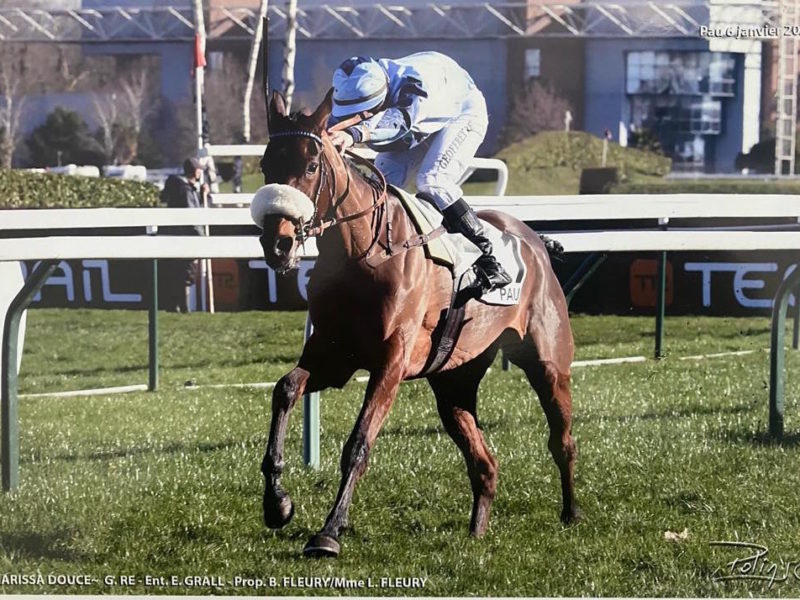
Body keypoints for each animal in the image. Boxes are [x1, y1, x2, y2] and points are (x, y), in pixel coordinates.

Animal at [253, 89, 580, 556]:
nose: (277, 243)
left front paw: (330, 531)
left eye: (311, 166)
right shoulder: (333, 356)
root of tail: (534, 239)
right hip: (454, 381)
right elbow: (285, 389)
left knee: (562, 440)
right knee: (485, 462)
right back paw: (476, 532)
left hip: (548, 363)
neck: (364, 254)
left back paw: (571, 513)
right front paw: (277, 503)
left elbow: (359, 443)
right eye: (266, 166)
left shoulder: (390, 363)